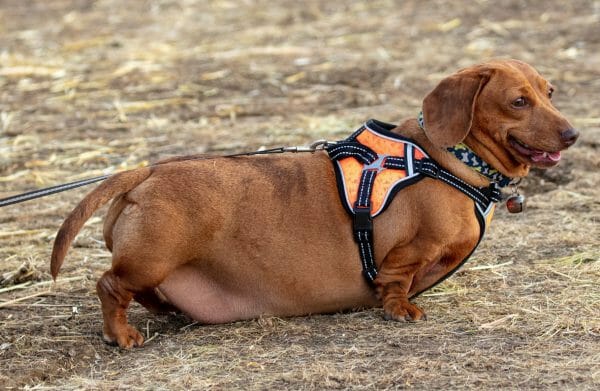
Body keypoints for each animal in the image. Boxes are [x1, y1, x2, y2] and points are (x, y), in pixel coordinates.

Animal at [50, 60, 576, 350]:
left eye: (550, 92)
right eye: (518, 101)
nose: (573, 134)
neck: (447, 158)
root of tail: (148, 172)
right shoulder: (407, 252)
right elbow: (396, 282)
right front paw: (400, 309)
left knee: (139, 292)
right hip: (151, 257)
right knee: (110, 286)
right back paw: (121, 335)